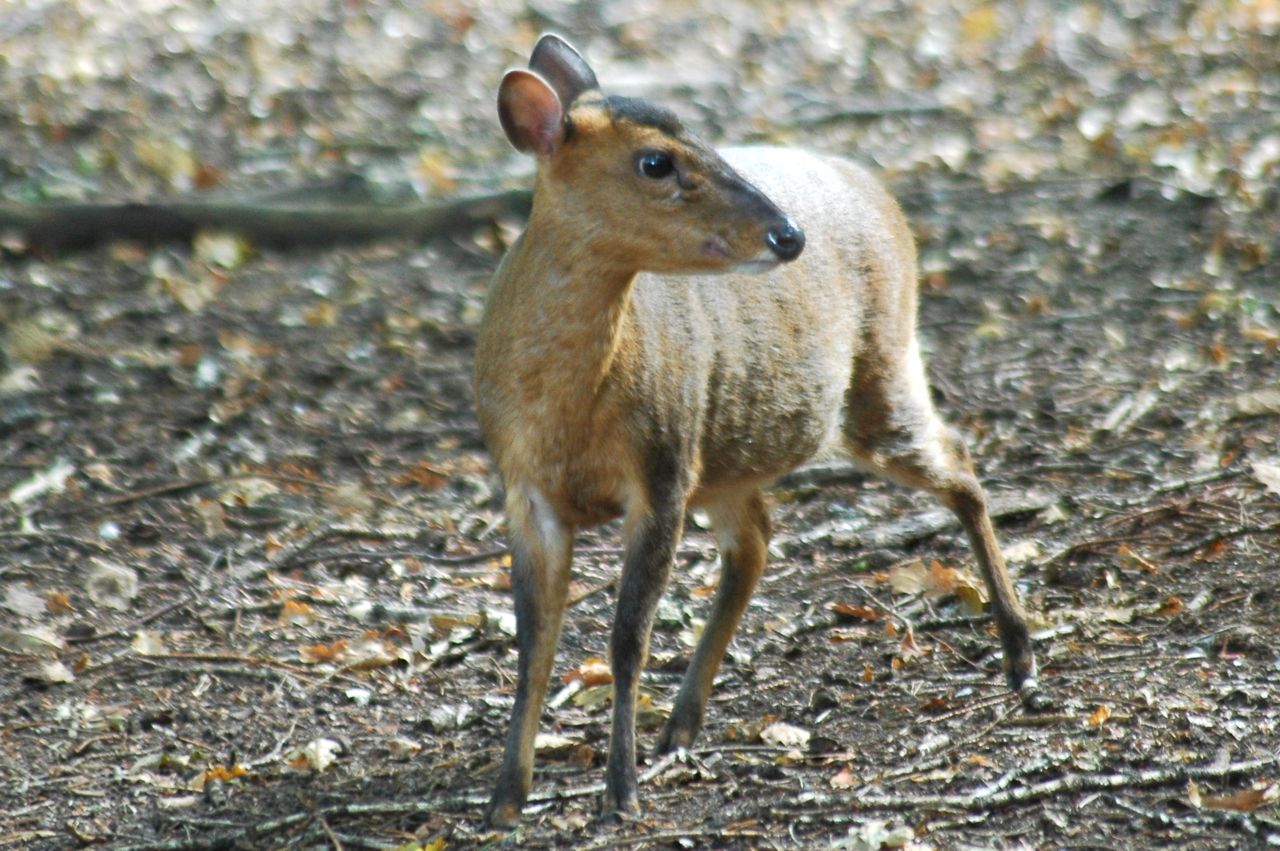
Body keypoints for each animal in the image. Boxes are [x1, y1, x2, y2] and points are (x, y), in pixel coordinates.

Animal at [476, 33, 1044, 824]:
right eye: (656, 161)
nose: (787, 233)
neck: (568, 412)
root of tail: (875, 186)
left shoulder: (662, 465)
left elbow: (626, 638)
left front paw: (620, 795)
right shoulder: (525, 487)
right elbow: (534, 644)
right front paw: (506, 797)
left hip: (877, 368)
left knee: (959, 464)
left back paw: (1022, 659)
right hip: (732, 452)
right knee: (757, 541)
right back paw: (681, 726)